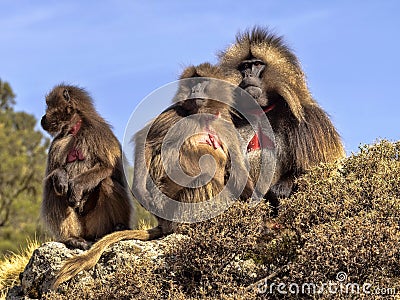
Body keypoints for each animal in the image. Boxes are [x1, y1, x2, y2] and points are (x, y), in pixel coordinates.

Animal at [41, 84, 133, 251]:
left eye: (49, 106)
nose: (43, 118)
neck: (74, 129)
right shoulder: (57, 144)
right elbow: (53, 173)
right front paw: (61, 175)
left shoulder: (99, 134)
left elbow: (109, 167)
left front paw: (76, 187)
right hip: (82, 227)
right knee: (55, 186)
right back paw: (73, 239)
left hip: (97, 223)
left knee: (106, 182)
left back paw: (117, 227)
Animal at [53, 63, 253, 288]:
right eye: (192, 83)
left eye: (201, 81)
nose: (194, 91)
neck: (203, 116)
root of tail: (165, 225)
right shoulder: (175, 114)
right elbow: (146, 140)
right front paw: (141, 192)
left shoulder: (226, 125)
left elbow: (238, 170)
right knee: (201, 178)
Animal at [217, 26, 346, 206]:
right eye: (245, 67)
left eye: (257, 65)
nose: (248, 76)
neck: (262, 110)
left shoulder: (312, 120)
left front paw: (281, 189)